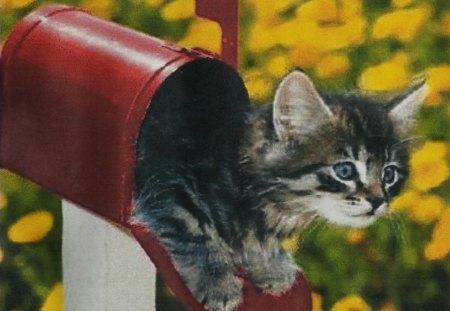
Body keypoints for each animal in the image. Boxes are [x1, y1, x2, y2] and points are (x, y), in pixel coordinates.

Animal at [133, 60, 426, 311]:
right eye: (345, 170)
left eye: (389, 174)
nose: (377, 201)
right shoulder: (163, 183)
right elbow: (193, 229)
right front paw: (218, 282)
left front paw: (270, 265)